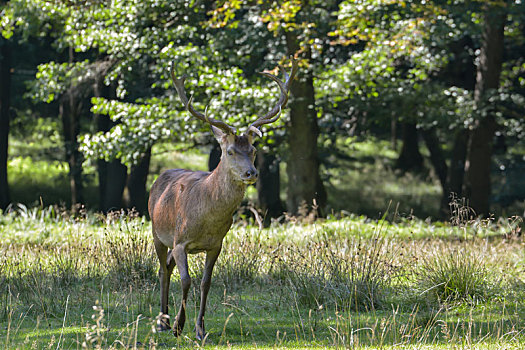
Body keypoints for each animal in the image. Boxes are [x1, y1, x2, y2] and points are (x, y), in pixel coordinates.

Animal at [147, 56, 296, 340]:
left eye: (253, 149)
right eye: (230, 151)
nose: (252, 173)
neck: (207, 219)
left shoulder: (216, 244)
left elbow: (206, 283)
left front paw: (200, 329)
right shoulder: (180, 240)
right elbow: (186, 280)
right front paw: (178, 326)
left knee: (167, 266)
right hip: (157, 231)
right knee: (162, 270)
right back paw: (162, 321)